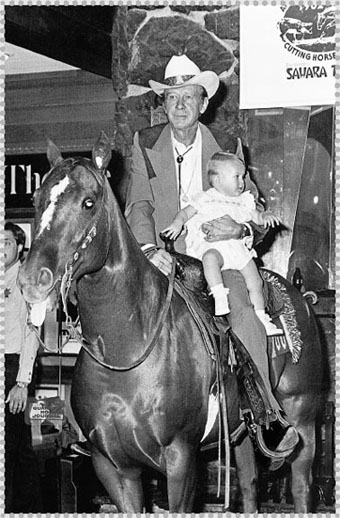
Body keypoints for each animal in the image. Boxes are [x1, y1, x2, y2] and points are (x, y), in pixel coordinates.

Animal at [18, 134, 324, 516]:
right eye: (36, 198)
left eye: (88, 202)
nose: (33, 279)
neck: (127, 348)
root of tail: (302, 300)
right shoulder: (112, 466)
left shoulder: (180, 460)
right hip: (239, 433)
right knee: (250, 484)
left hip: (303, 417)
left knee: (300, 486)